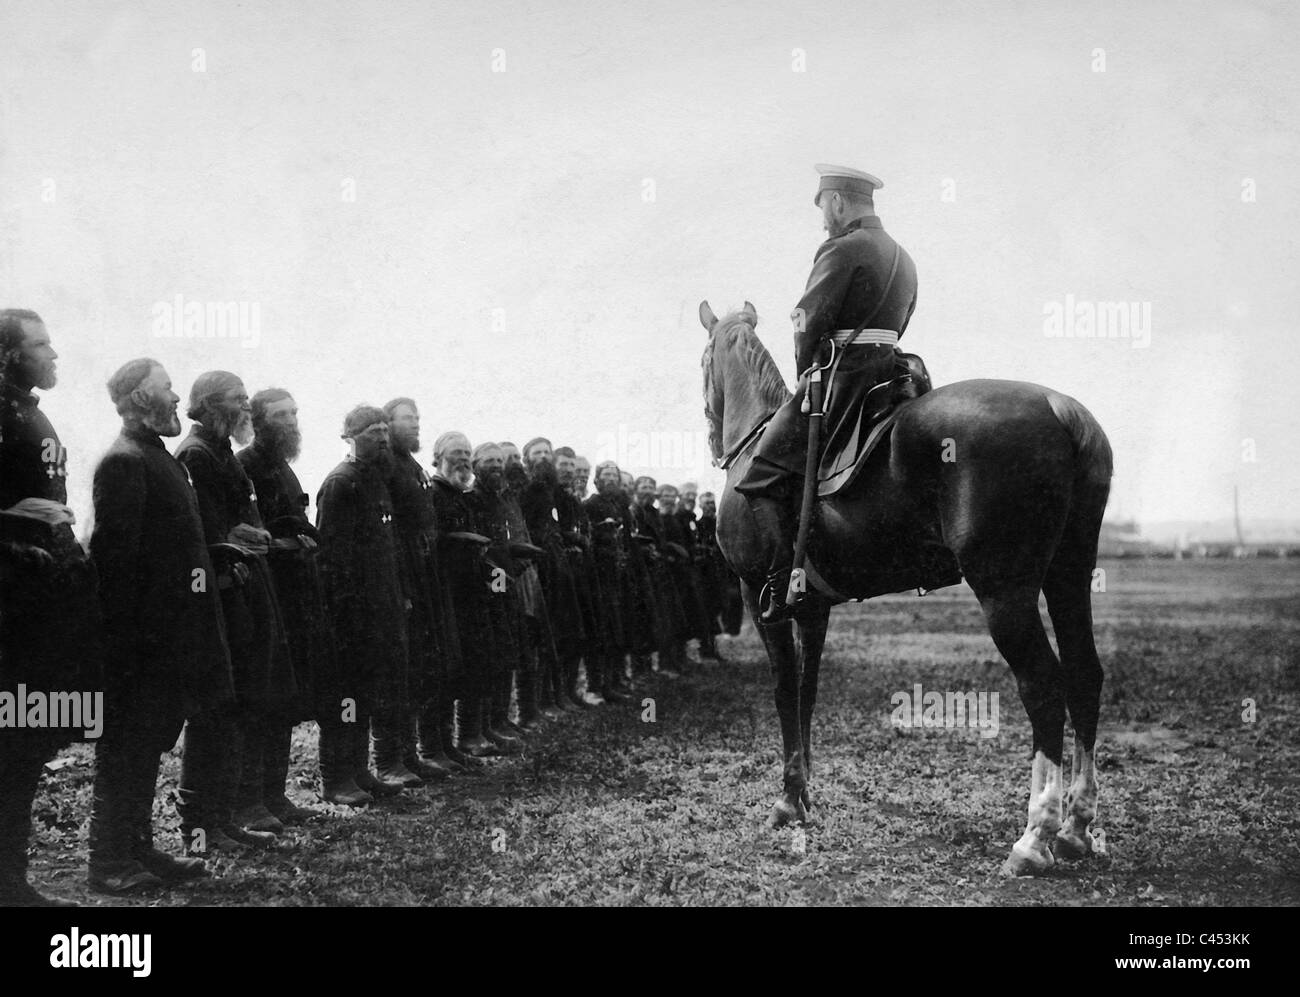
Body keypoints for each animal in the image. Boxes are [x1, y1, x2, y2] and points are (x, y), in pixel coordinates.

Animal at [702, 301, 1118, 873]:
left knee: (1043, 686)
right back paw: (1077, 827)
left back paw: (1035, 837)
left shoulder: (759, 597)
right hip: (1069, 575)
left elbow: (785, 690)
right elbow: (808, 692)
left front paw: (787, 803)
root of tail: (1061, 410)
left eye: (704, 364)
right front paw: (805, 793)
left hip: (1004, 592)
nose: (712, 438)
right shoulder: (813, 609)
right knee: (1084, 675)